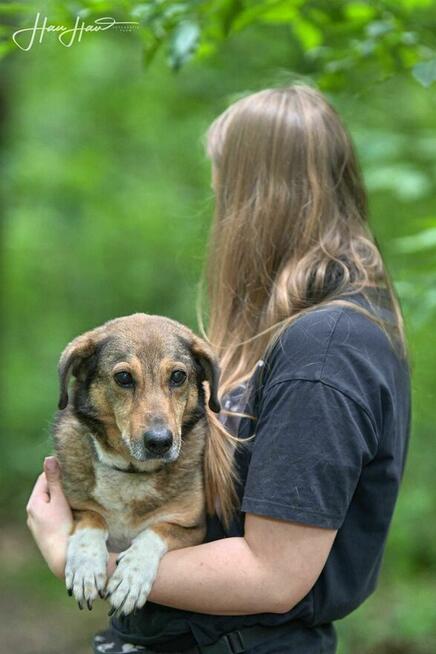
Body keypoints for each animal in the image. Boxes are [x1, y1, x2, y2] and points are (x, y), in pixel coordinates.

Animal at [53, 316, 235, 616]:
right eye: (124, 377)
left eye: (178, 376)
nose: (160, 442)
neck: (131, 472)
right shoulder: (75, 507)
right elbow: (93, 518)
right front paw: (86, 565)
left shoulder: (192, 528)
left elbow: (156, 532)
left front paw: (132, 576)